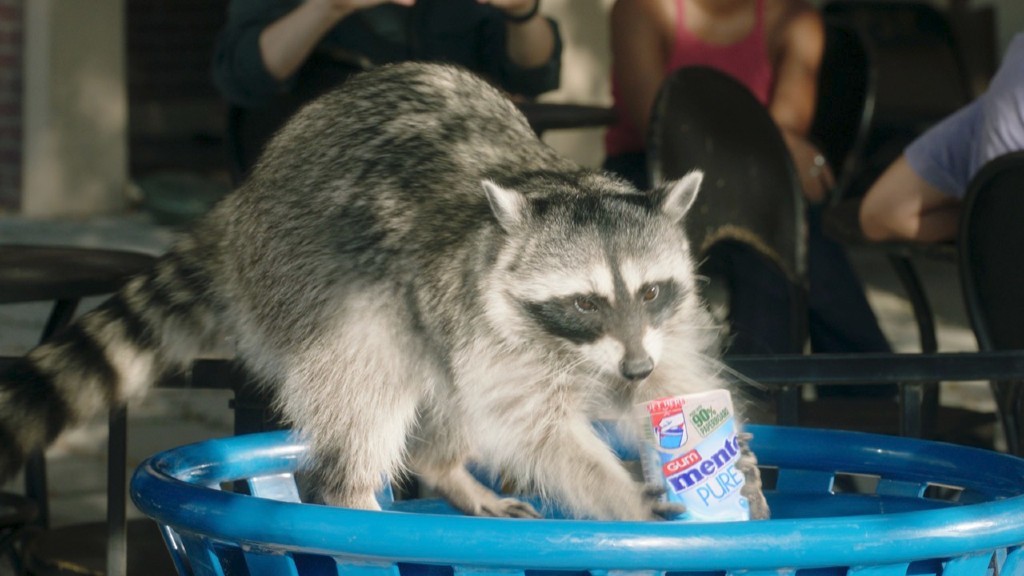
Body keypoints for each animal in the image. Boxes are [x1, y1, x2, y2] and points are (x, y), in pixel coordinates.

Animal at [0, 62, 767, 521]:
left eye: (650, 291)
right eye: (584, 302)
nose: (631, 365)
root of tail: (244, 199)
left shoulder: (658, 327)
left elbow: (669, 385)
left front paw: (725, 455)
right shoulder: (489, 322)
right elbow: (539, 432)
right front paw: (620, 491)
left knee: (445, 395)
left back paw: (443, 466)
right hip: (314, 283)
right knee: (369, 380)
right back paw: (355, 496)